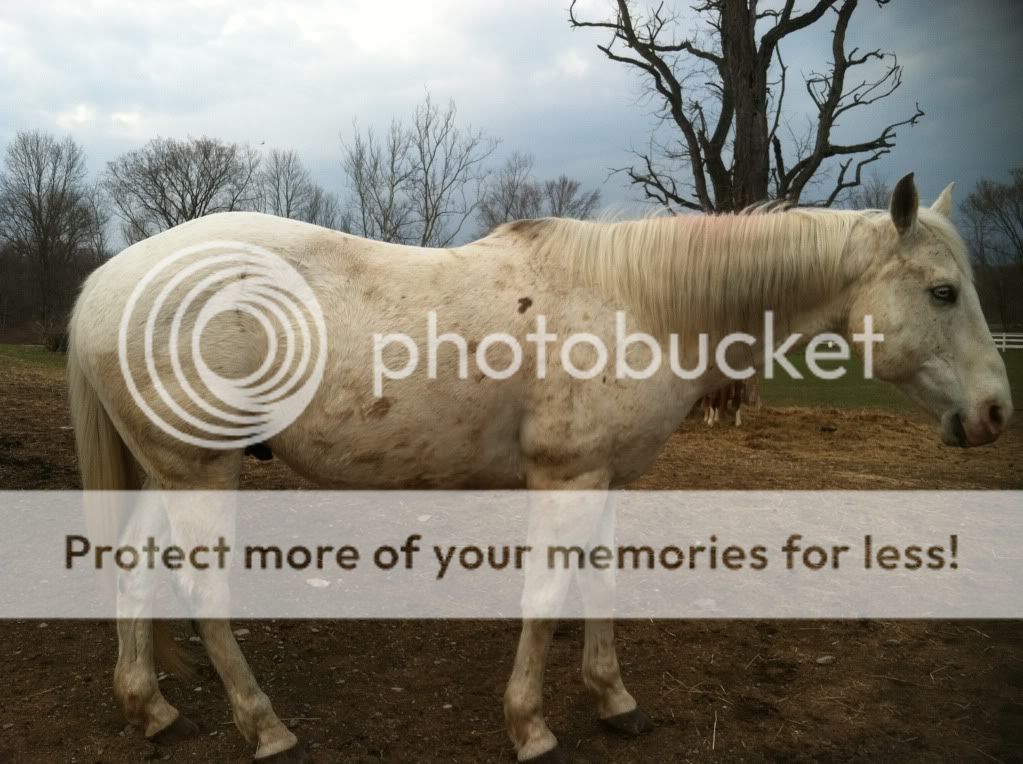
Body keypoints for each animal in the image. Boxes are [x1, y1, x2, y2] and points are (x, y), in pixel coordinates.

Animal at [67, 173, 1012, 763]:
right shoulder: (564, 480)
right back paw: (265, 729)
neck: (637, 304)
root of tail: (107, 281)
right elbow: (547, 596)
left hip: (166, 471)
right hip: (200, 473)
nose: (995, 415)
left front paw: (614, 701)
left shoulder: (607, 480)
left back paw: (151, 709)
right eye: (941, 292)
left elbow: (598, 586)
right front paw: (532, 728)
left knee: (136, 568)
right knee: (202, 591)